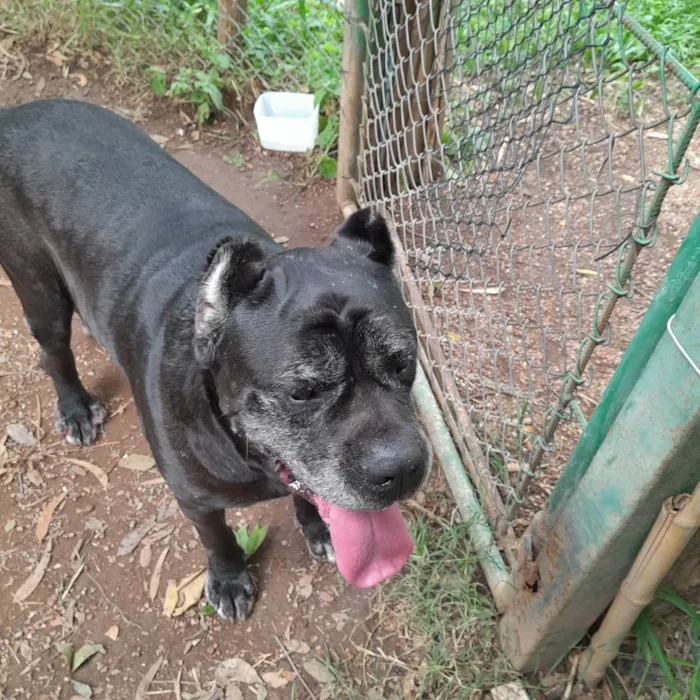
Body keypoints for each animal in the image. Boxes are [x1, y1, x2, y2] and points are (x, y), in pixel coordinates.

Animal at [0, 98, 430, 616]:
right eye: (302, 391)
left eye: (403, 364)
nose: (402, 469)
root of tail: (19, 112)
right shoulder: (194, 500)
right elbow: (217, 537)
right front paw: (228, 578)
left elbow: (310, 495)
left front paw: (318, 527)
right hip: (38, 289)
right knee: (55, 351)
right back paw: (76, 408)